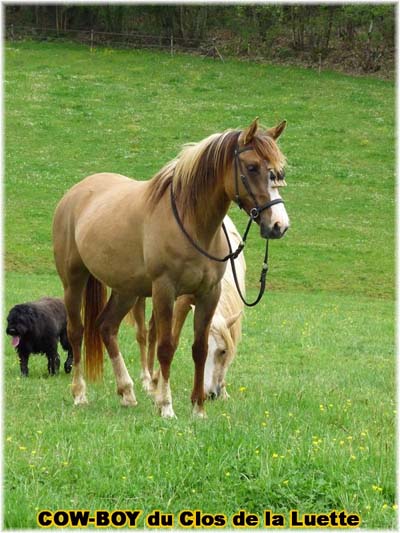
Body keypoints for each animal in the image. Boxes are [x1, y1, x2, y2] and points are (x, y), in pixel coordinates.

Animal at [130, 214, 245, 396]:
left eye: (223, 351)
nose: (210, 393)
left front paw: (224, 391)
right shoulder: (182, 302)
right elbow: (174, 340)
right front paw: (158, 381)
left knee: (153, 332)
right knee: (142, 333)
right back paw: (147, 380)